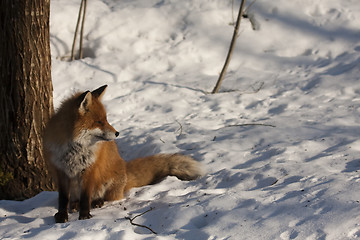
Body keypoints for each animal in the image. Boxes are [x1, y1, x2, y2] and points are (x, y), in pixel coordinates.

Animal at [42, 85, 202, 223]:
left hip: (108, 183)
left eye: (106, 119)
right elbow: (63, 199)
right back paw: (74, 205)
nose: (117, 133)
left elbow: (86, 196)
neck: (74, 149)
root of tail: (125, 168)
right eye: (99, 122)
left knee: (109, 197)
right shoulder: (61, 171)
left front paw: (85, 215)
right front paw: (62, 215)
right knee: (75, 199)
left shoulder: (90, 169)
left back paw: (98, 202)